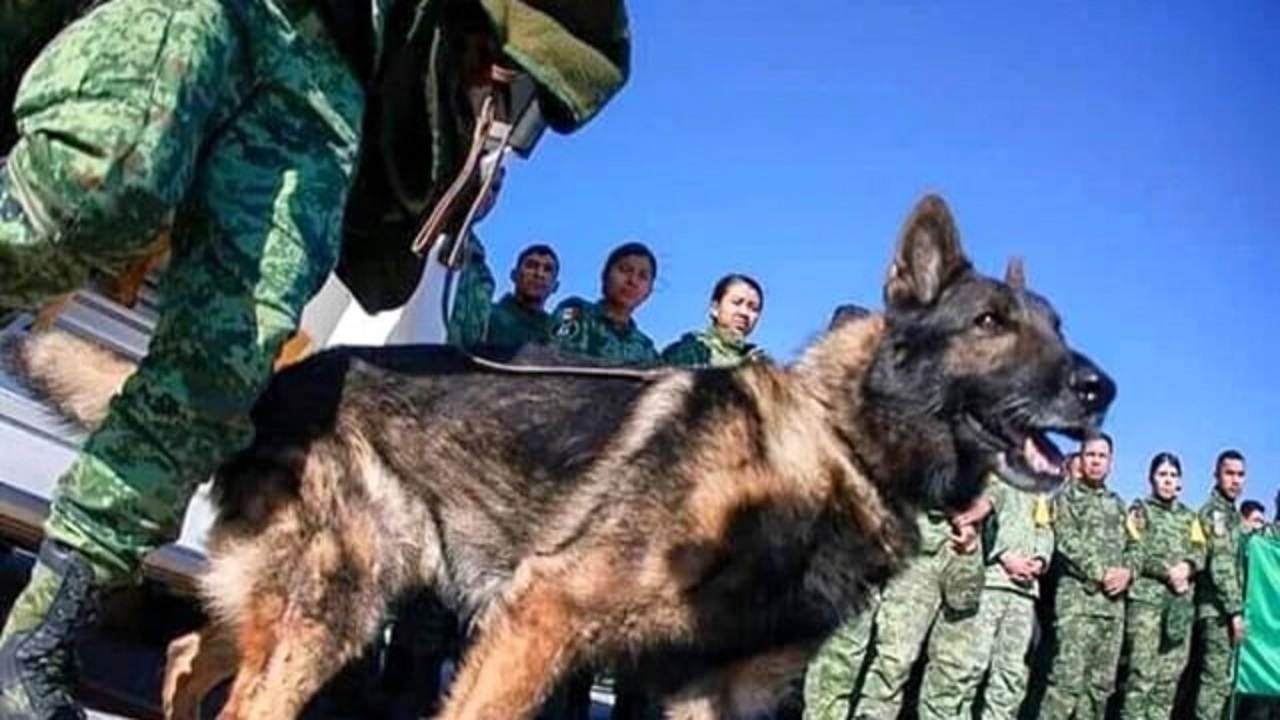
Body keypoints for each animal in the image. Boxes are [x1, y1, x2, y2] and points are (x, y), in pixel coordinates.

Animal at [10, 193, 1116, 712]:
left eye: (1058, 328)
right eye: (989, 324)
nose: (1100, 388)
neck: (837, 447)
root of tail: (279, 380)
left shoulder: (711, 696)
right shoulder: (542, 618)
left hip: (312, 597)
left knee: (192, 650)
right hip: (339, 603)